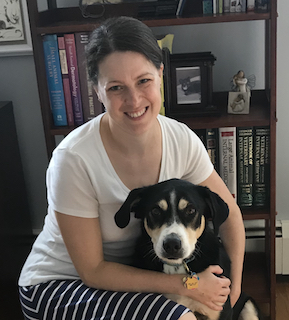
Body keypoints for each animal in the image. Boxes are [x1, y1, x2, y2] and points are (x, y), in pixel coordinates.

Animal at [113, 179, 260, 320]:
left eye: (191, 210)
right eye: (155, 211)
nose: (172, 245)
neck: (176, 266)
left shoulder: (221, 312)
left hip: (249, 308)